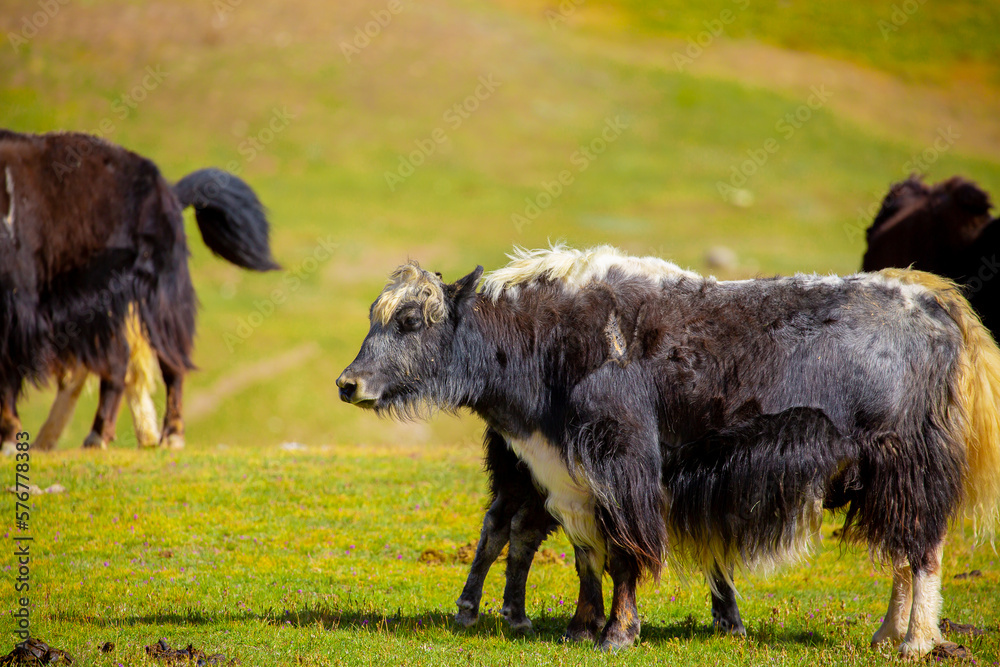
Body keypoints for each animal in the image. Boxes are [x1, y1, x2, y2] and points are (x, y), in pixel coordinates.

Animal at [0, 129, 279, 451]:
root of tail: (167, 191)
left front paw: (9, 438)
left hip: (155, 298)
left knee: (168, 364)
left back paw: (166, 436)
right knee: (118, 364)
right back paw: (99, 437)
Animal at [337, 244, 1000, 657]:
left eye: (411, 321)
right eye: (375, 316)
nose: (348, 384)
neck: (543, 342)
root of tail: (940, 303)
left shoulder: (623, 464)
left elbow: (624, 553)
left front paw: (617, 634)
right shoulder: (564, 475)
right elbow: (586, 554)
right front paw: (580, 627)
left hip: (908, 463)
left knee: (923, 548)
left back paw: (915, 641)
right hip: (877, 476)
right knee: (902, 550)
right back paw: (886, 635)